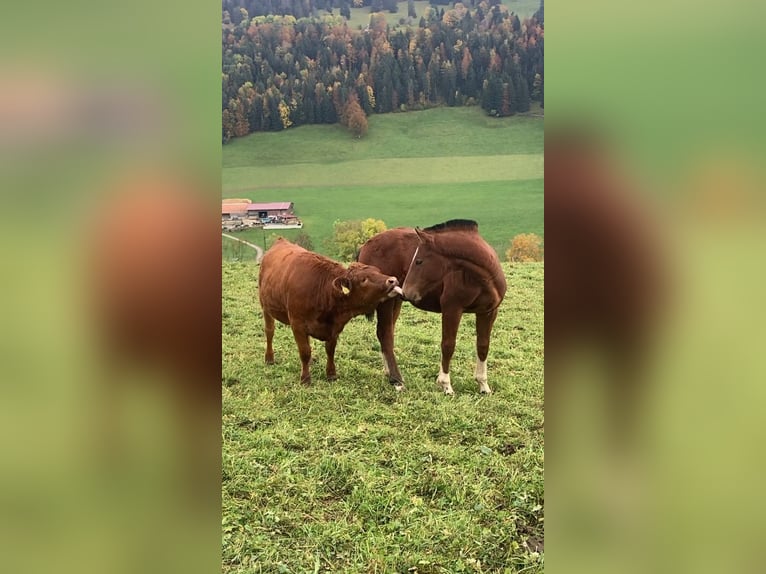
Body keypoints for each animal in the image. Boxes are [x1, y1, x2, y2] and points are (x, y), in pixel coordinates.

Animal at [260, 238, 402, 388]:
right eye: (364, 279)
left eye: (378, 271)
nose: (392, 280)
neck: (321, 290)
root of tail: (281, 241)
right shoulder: (297, 324)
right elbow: (304, 351)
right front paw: (305, 379)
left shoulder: (334, 327)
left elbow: (330, 349)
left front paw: (331, 374)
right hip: (265, 307)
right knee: (269, 331)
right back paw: (269, 358)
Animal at [360, 220, 510, 396]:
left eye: (418, 261)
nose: (406, 291)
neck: (483, 278)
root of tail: (367, 244)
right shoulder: (452, 309)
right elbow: (448, 345)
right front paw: (446, 385)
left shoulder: (488, 312)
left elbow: (483, 346)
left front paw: (483, 385)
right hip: (387, 302)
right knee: (385, 334)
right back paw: (397, 380)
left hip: (395, 301)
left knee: (386, 333)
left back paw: (389, 373)